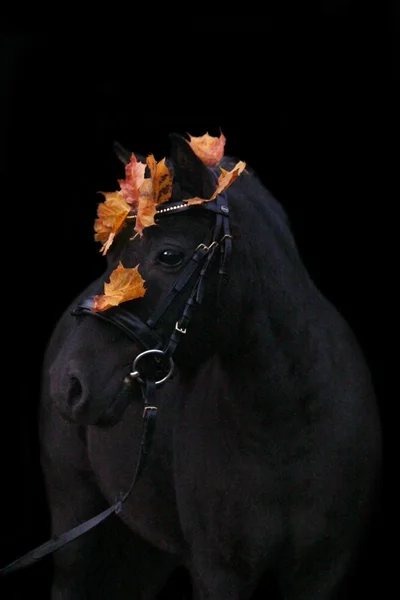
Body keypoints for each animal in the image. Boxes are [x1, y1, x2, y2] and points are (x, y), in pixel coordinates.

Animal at [37, 134, 382, 596]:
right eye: (112, 258)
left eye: (169, 254)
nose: (67, 384)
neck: (288, 424)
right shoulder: (219, 571)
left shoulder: (322, 570)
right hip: (74, 516)